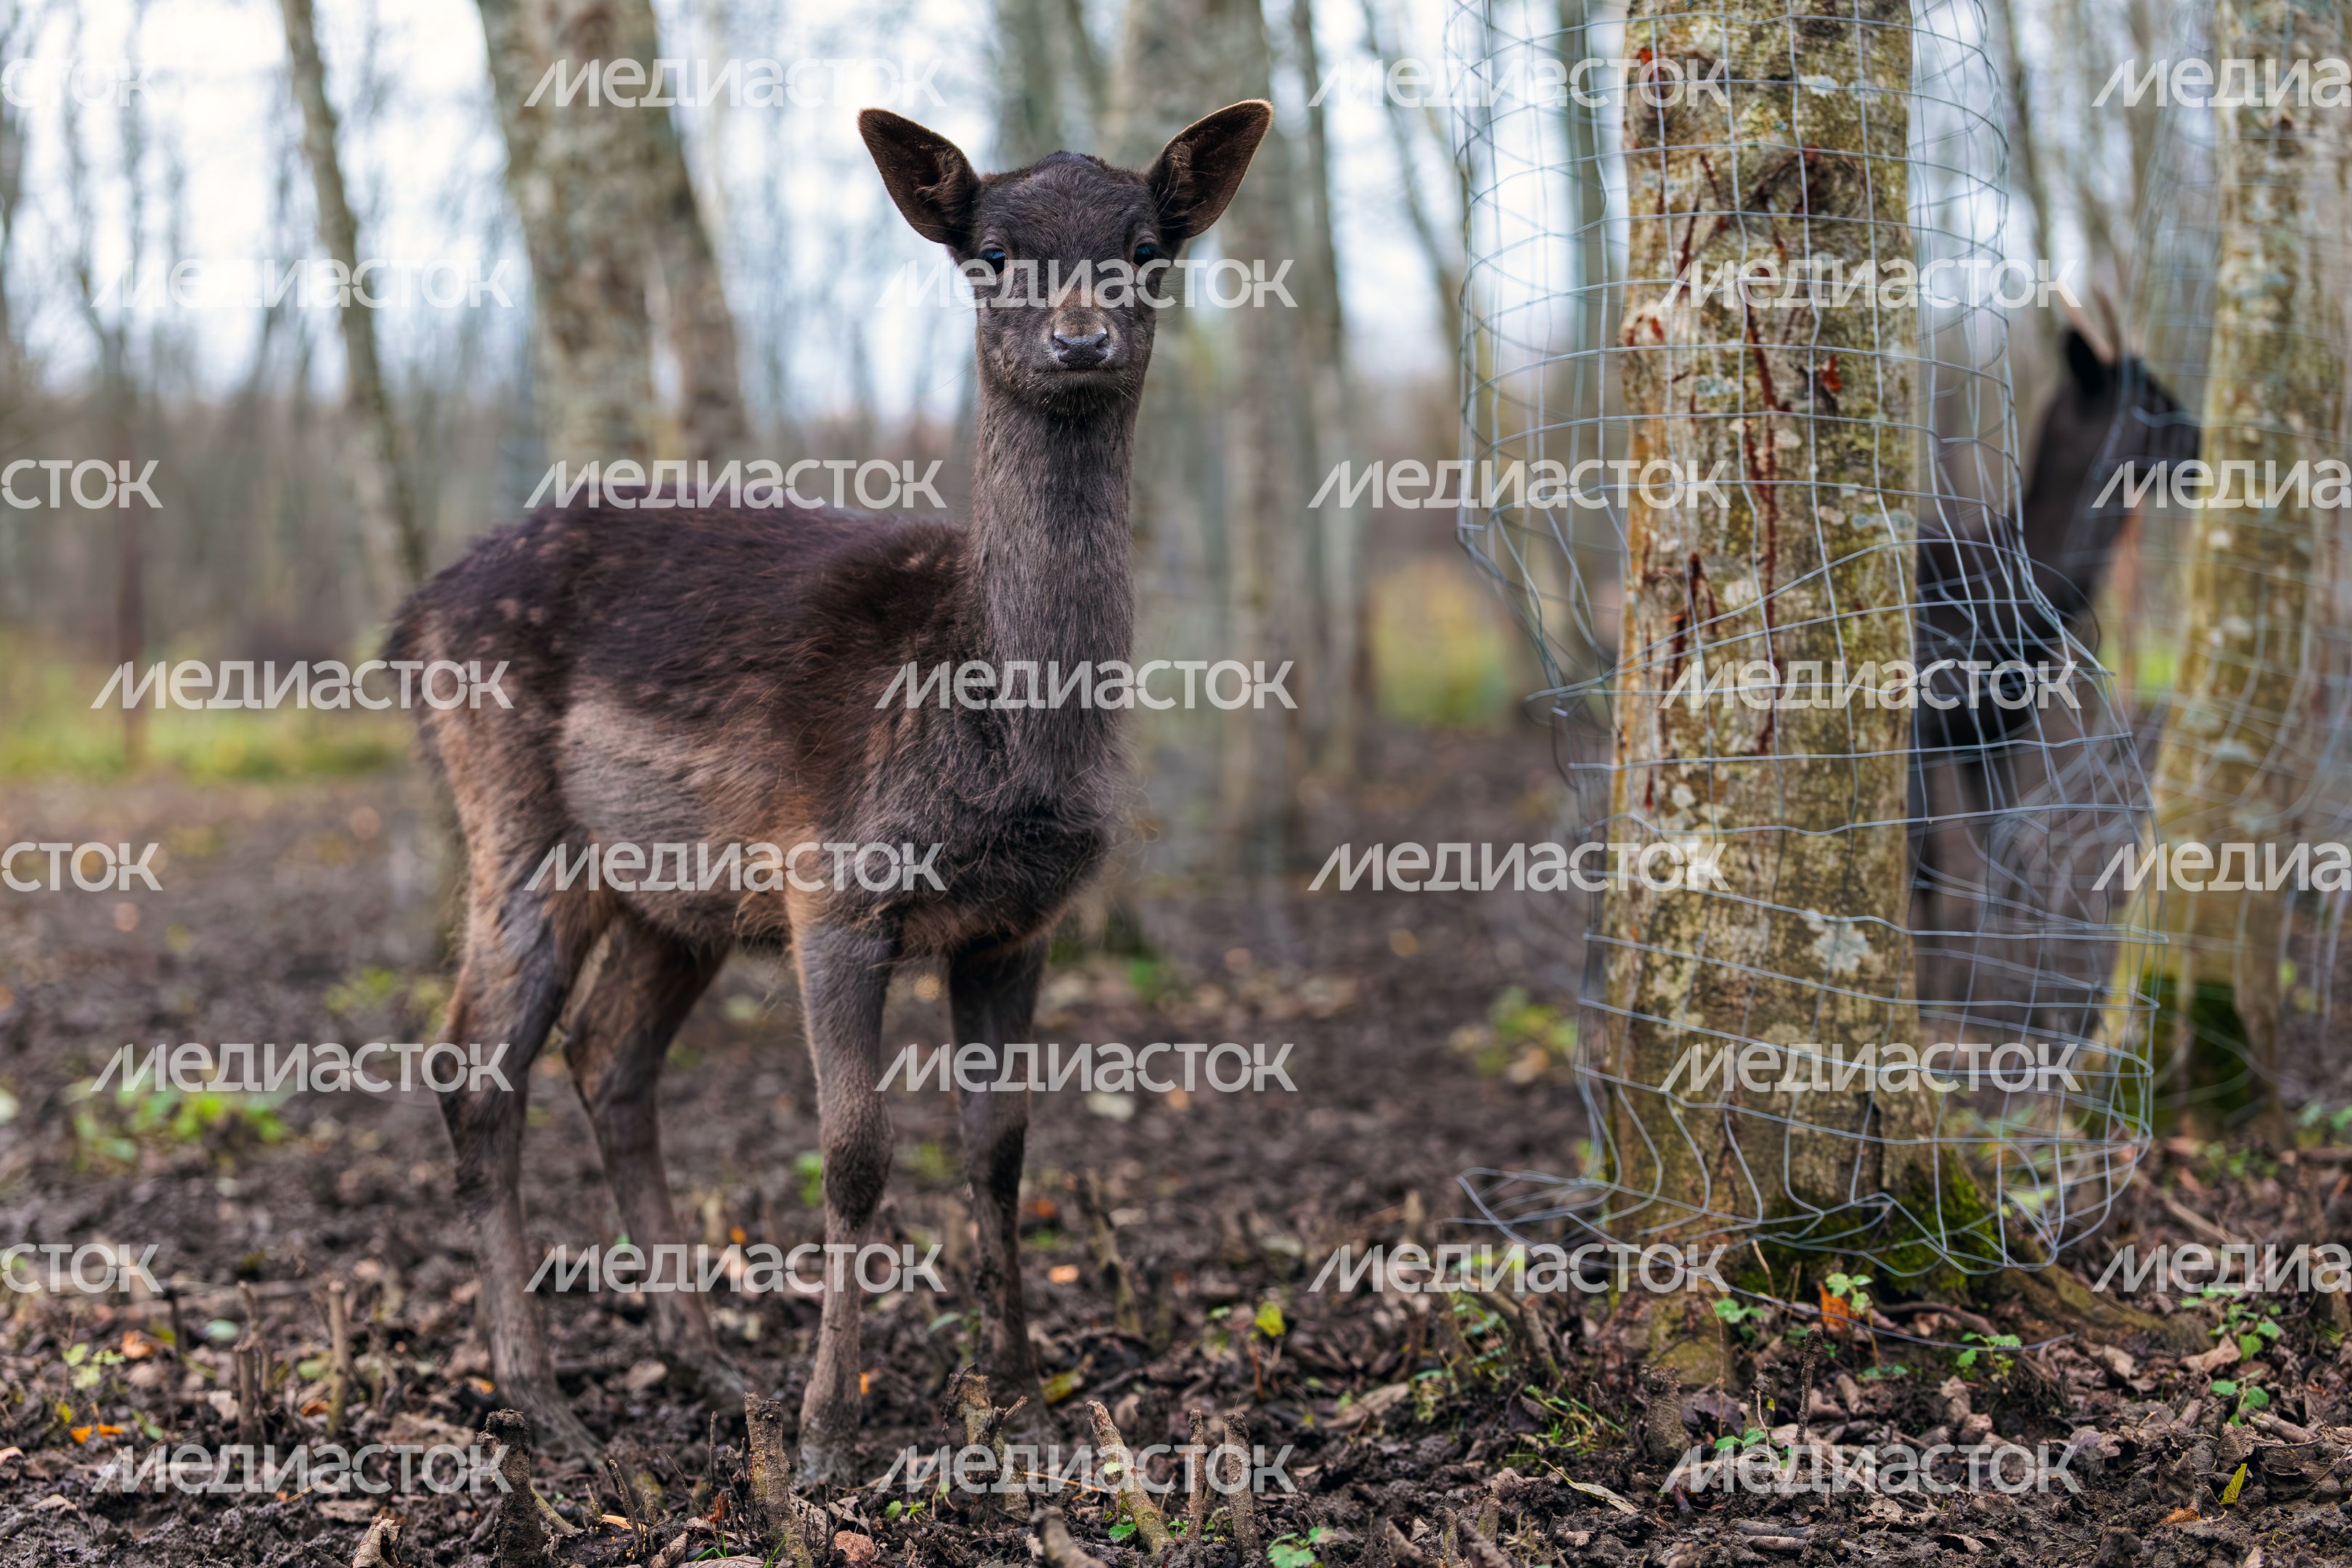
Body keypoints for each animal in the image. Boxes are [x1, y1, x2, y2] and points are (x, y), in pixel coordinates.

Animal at [389, 100, 1273, 1482]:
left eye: (1146, 246)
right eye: (993, 252)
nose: (1080, 337)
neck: (996, 722)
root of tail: (413, 618)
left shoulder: (1022, 921)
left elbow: (1001, 1149)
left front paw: (1023, 1400)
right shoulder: (838, 890)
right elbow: (855, 1155)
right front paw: (824, 1436)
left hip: (674, 892)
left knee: (608, 1055)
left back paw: (703, 1361)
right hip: (516, 823)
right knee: (477, 1068)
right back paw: (548, 1405)